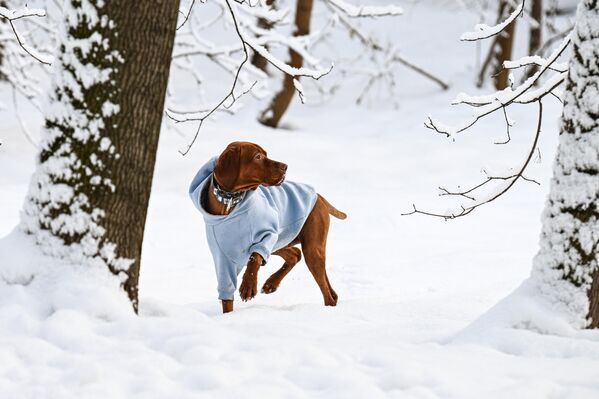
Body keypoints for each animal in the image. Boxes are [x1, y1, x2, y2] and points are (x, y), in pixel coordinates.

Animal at [205, 142, 350, 314]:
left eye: (265, 154)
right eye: (257, 157)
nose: (285, 166)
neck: (229, 202)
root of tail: (318, 196)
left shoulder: (266, 236)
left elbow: (254, 258)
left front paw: (248, 286)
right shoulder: (222, 259)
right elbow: (227, 297)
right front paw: (228, 317)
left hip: (311, 249)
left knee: (326, 291)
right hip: (281, 243)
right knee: (295, 254)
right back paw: (271, 284)